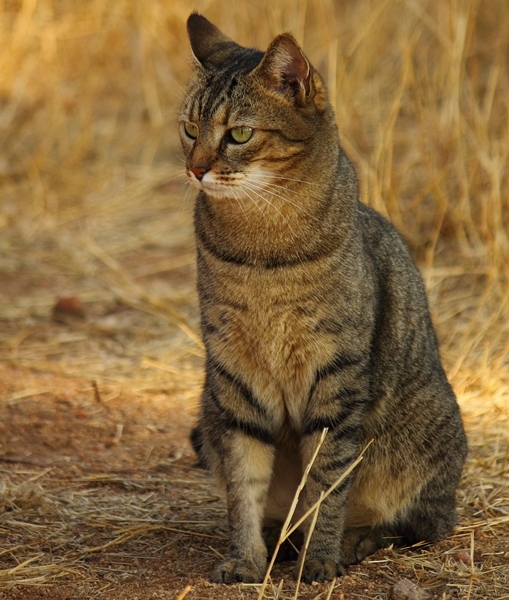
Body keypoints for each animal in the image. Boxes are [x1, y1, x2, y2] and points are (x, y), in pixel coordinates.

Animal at [180, 12, 468, 584]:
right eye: (189, 130)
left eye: (239, 134)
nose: (196, 169)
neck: (261, 252)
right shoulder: (234, 380)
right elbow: (243, 485)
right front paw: (246, 559)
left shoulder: (336, 378)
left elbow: (326, 484)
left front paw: (319, 559)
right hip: (207, 415)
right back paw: (280, 539)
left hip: (427, 437)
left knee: (422, 524)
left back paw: (354, 541)